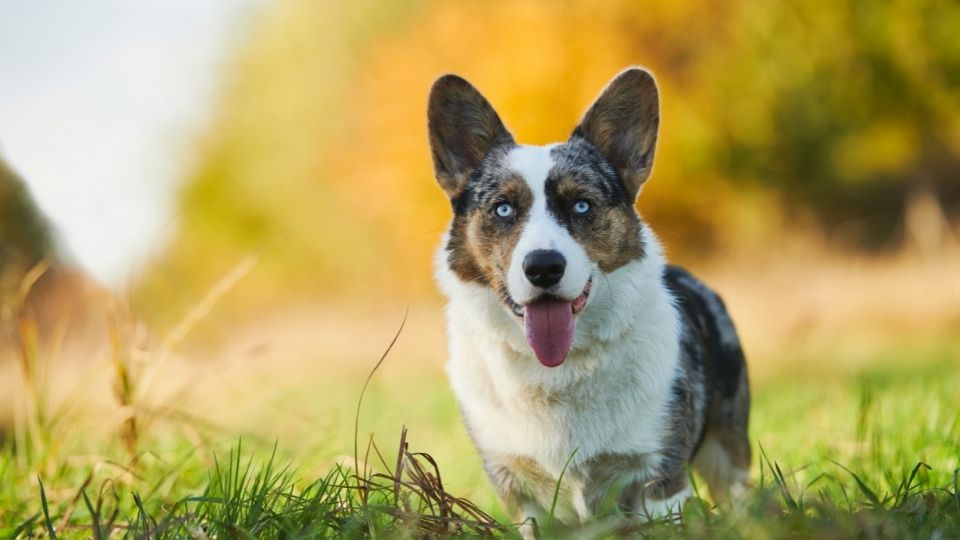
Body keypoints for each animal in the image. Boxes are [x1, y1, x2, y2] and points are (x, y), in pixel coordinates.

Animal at [428, 68, 752, 532]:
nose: (543, 267)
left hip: (728, 454)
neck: (558, 372)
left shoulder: (659, 480)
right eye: (503, 209)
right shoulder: (520, 494)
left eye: (582, 205)